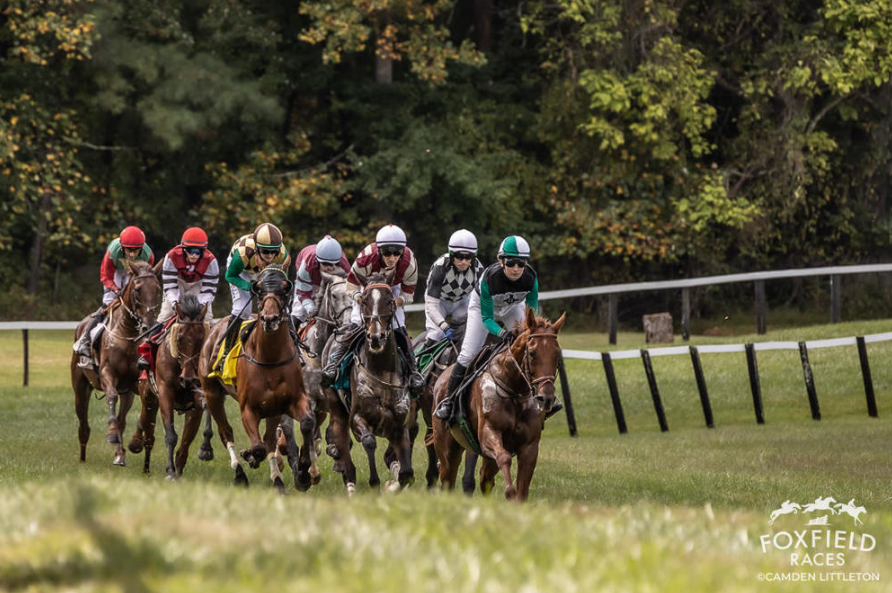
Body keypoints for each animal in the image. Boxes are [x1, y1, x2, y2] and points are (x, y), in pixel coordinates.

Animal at [70, 262, 161, 464]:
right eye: (137, 289)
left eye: (158, 289)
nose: (149, 326)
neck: (127, 334)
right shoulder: (107, 372)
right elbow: (111, 396)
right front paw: (111, 434)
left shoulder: (136, 381)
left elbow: (143, 406)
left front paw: (134, 443)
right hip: (80, 387)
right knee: (83, 424)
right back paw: (82, 458)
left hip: (127, 393)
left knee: (122, 419)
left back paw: (120, 453)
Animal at [130, 292, 208, 476]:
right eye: (179, 338)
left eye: (201, 339)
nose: (188, 379)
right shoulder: (165, 393)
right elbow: (171, 436)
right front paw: (170, 470)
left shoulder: (197, 403)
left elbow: (185, 444)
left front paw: (178, 472)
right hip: (149, 398)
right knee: (148, 434)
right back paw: (142, 460)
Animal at [324, 272, 414, 494]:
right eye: (364, 301)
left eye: (390, 301)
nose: (375, 337)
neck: (381, 370)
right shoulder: (358, 417)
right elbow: (369, 441)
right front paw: (375, 482)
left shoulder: (400, 424)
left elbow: (407, 473)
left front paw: (393, 484)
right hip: (336, 408)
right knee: (342, 445)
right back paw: (350, 484)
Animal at [432, 308, 564, 502]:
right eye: (532, 353)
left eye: (557, 355)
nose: (545, 398)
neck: (515, 390)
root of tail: (441, 378)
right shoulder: (489, 432)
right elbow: (504, 458)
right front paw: (509, 491)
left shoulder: (530, 446)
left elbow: (522, 489)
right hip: (447, 447)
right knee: (447, 478)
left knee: (485, 478)